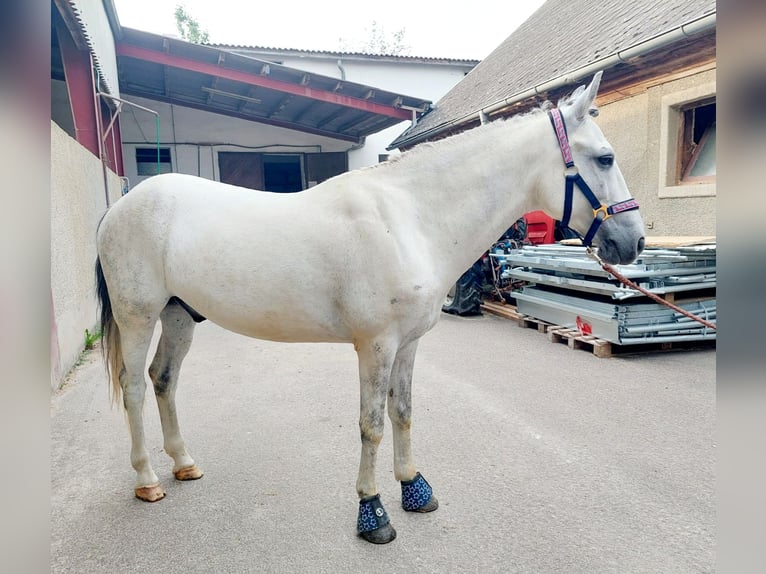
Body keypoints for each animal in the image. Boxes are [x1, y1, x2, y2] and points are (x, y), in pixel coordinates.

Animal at [96, 72, 648, 544]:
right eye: (604, 158)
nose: (635, 242)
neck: (409, 217)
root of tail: (121, 206)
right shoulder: (375, 345)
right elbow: (372, 424)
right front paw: (373, 511)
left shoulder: (407, 344)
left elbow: (403, 413)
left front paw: (414, 488)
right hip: (138, 316)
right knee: (133, 388)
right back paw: (147, 478)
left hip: (178, 315)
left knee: (163, 379)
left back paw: (183, 462)